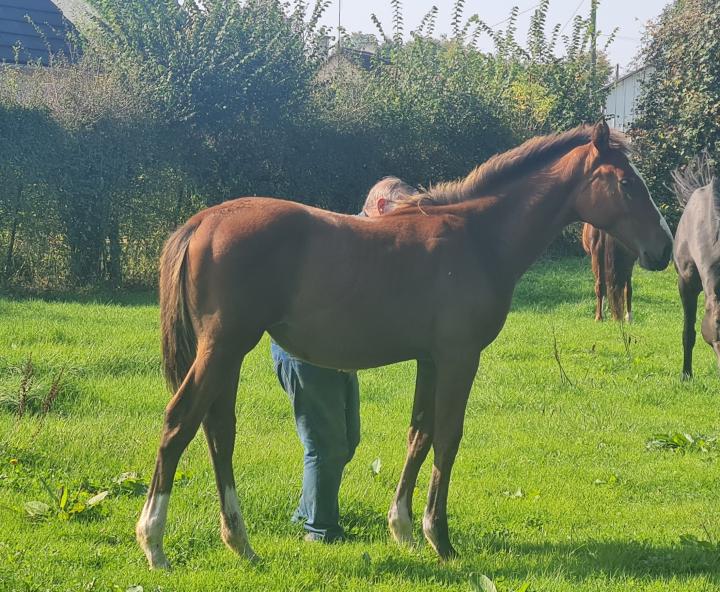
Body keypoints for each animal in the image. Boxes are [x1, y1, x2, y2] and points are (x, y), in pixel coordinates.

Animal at [136, 121, 676, 568]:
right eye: (626, 183)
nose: (664, 249)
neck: (478, 238)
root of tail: (203, 222)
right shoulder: (460, 357)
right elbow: (449, 437)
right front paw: (440, 537)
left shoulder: (430, 359)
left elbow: (420, 434)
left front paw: (403, 530)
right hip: (223, 347)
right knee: (179, 423)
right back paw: (155, 543)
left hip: (227, 354)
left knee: (218, 431)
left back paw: (240, 542)